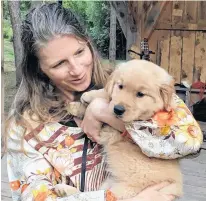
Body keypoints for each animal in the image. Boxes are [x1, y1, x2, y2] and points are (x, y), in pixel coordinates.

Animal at [67, 59, 182, 199]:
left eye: (140, 94)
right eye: (120, 86)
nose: (118, 109)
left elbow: (105, 99)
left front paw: (86, 99)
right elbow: (108, 95)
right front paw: (79, 103)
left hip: (123, 191)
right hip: (109, 182)